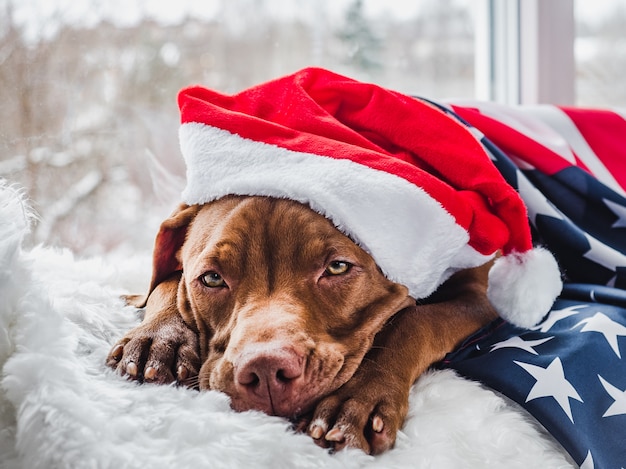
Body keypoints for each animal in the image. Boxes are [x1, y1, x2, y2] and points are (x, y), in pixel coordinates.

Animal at [108, 195, 498, 454]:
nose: (266, 371)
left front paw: (357, 400)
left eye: (337, 267)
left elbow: (415, 320)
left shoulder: (475, 299)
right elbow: (166, 282)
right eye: (212, 278)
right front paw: (160, 339)